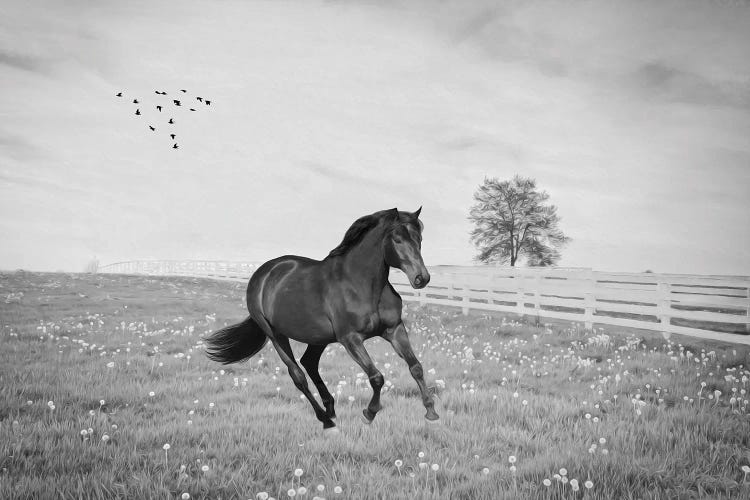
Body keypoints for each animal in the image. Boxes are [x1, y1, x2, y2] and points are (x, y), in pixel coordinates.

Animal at [206, 206, 440, 430]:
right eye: (397, 239)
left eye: (419, 238)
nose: (422, 278)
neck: (360, 285)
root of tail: (262, 273)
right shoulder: (351, 339)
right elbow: (376, 377)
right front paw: (369, 414)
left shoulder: (394, 329)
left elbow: (416, 367)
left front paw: (431, 412)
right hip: (275, 334)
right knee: (298, 375)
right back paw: (326, 421)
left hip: (318, 338)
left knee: (309, 362)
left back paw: (331, 409)